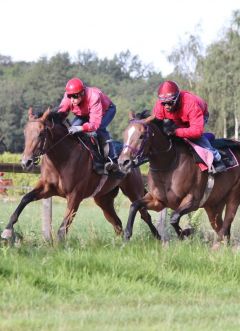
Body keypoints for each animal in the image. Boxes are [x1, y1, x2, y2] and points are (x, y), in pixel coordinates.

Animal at [1, 108, 160, 241]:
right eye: (25, 133)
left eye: (41, 134)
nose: (26, 162)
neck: (62, 159)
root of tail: (130, 158)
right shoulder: (47, 188)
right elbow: (25, 199)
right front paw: (7, 230)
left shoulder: (75, 196)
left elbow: (63, 229)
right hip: (103, 199)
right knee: (117, 223)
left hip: (133, 190)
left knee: (145, 214)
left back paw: (158, 238)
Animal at [118, 111, 240, 244]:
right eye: (124, 134)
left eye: (141, 136)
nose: (123, 162)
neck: (168, 163)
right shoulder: (158, 201)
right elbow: (134, 205)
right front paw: (127, 234)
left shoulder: (193, 200)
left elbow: (174, 218)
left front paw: (185, 232)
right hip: (214, 205)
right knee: (222, 229)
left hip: (233, 196)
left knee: (227, 223)